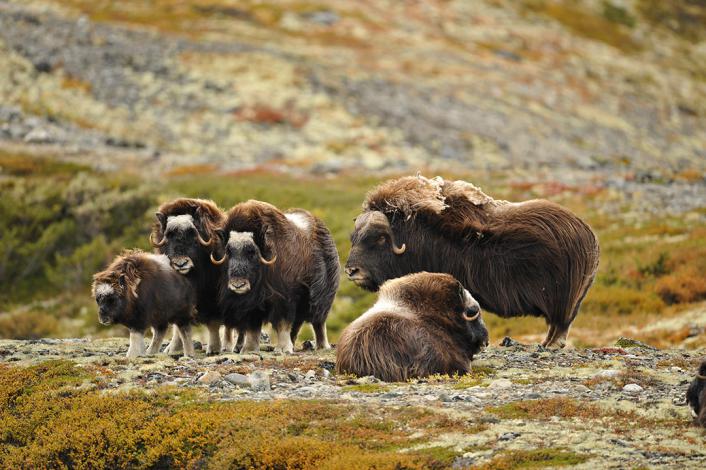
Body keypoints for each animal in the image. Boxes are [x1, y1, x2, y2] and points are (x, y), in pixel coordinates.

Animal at [150, 196, 238, 354]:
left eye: (193, 234)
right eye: (168, 236)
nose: (181, 263)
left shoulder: (212, 297)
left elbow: (213, 322)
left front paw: (213, 348)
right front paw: (173, 348)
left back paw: (227, 346)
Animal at [209, 200, 338, 354]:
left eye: (252, 251)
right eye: (228, 251)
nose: (237, 285)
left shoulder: (284, 299)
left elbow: (283, 323)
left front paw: (283, 349)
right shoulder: (251, 304)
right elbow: (252, 327)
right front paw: (249, 349)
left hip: (322, 298)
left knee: (318, 322)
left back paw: (321, 346)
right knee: (297, 324)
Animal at [344, 174, 596, 346]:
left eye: (380, 238)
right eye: (354, 238)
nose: (351, 271)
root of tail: (587, 235)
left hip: (560, 297)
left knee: (560, 324)